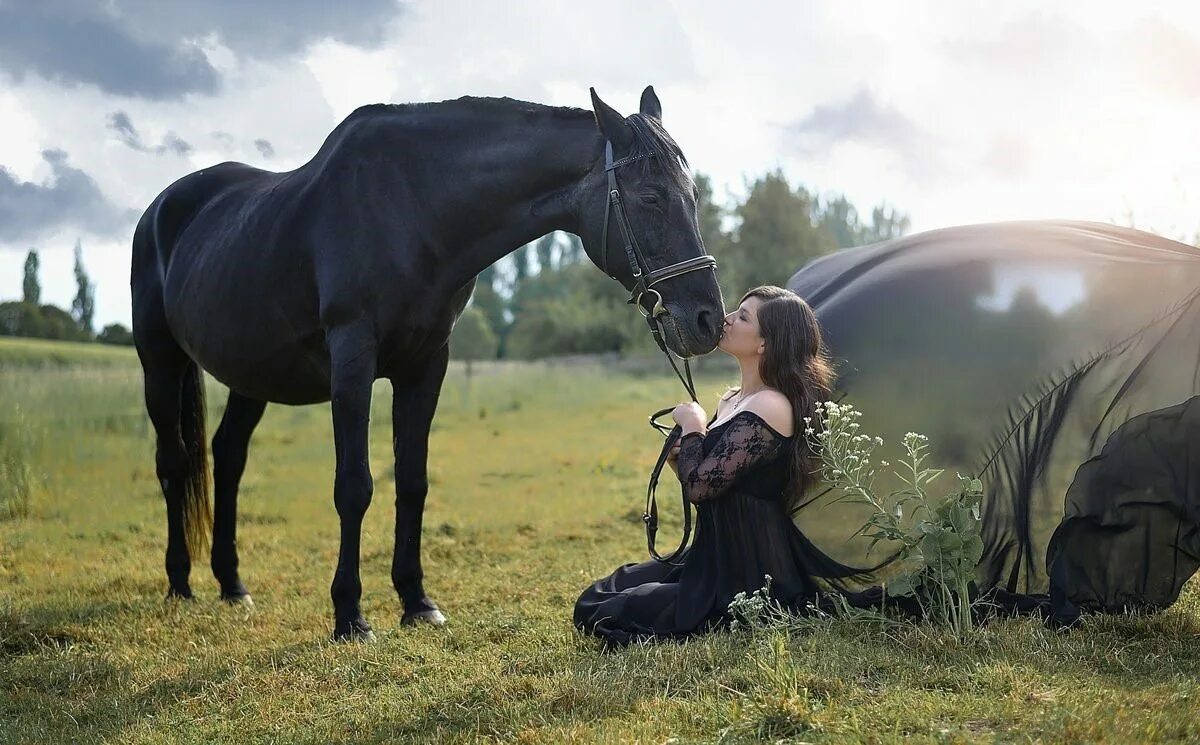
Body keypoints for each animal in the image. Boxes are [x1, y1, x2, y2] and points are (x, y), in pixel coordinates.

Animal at [131, 85, 720, 633]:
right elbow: (354, 487)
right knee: (173, 461)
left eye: (692, 195)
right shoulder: (353, 360)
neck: (411, 209)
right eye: (650, 197)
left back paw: (232, 584)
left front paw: (417, 603)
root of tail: (162, 208)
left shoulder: (426, 365)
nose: (707, 320)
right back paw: (180, 583)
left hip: (250, 377)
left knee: (228, 457)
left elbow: (412, 482)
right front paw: (350, 615)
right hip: (160, 363)